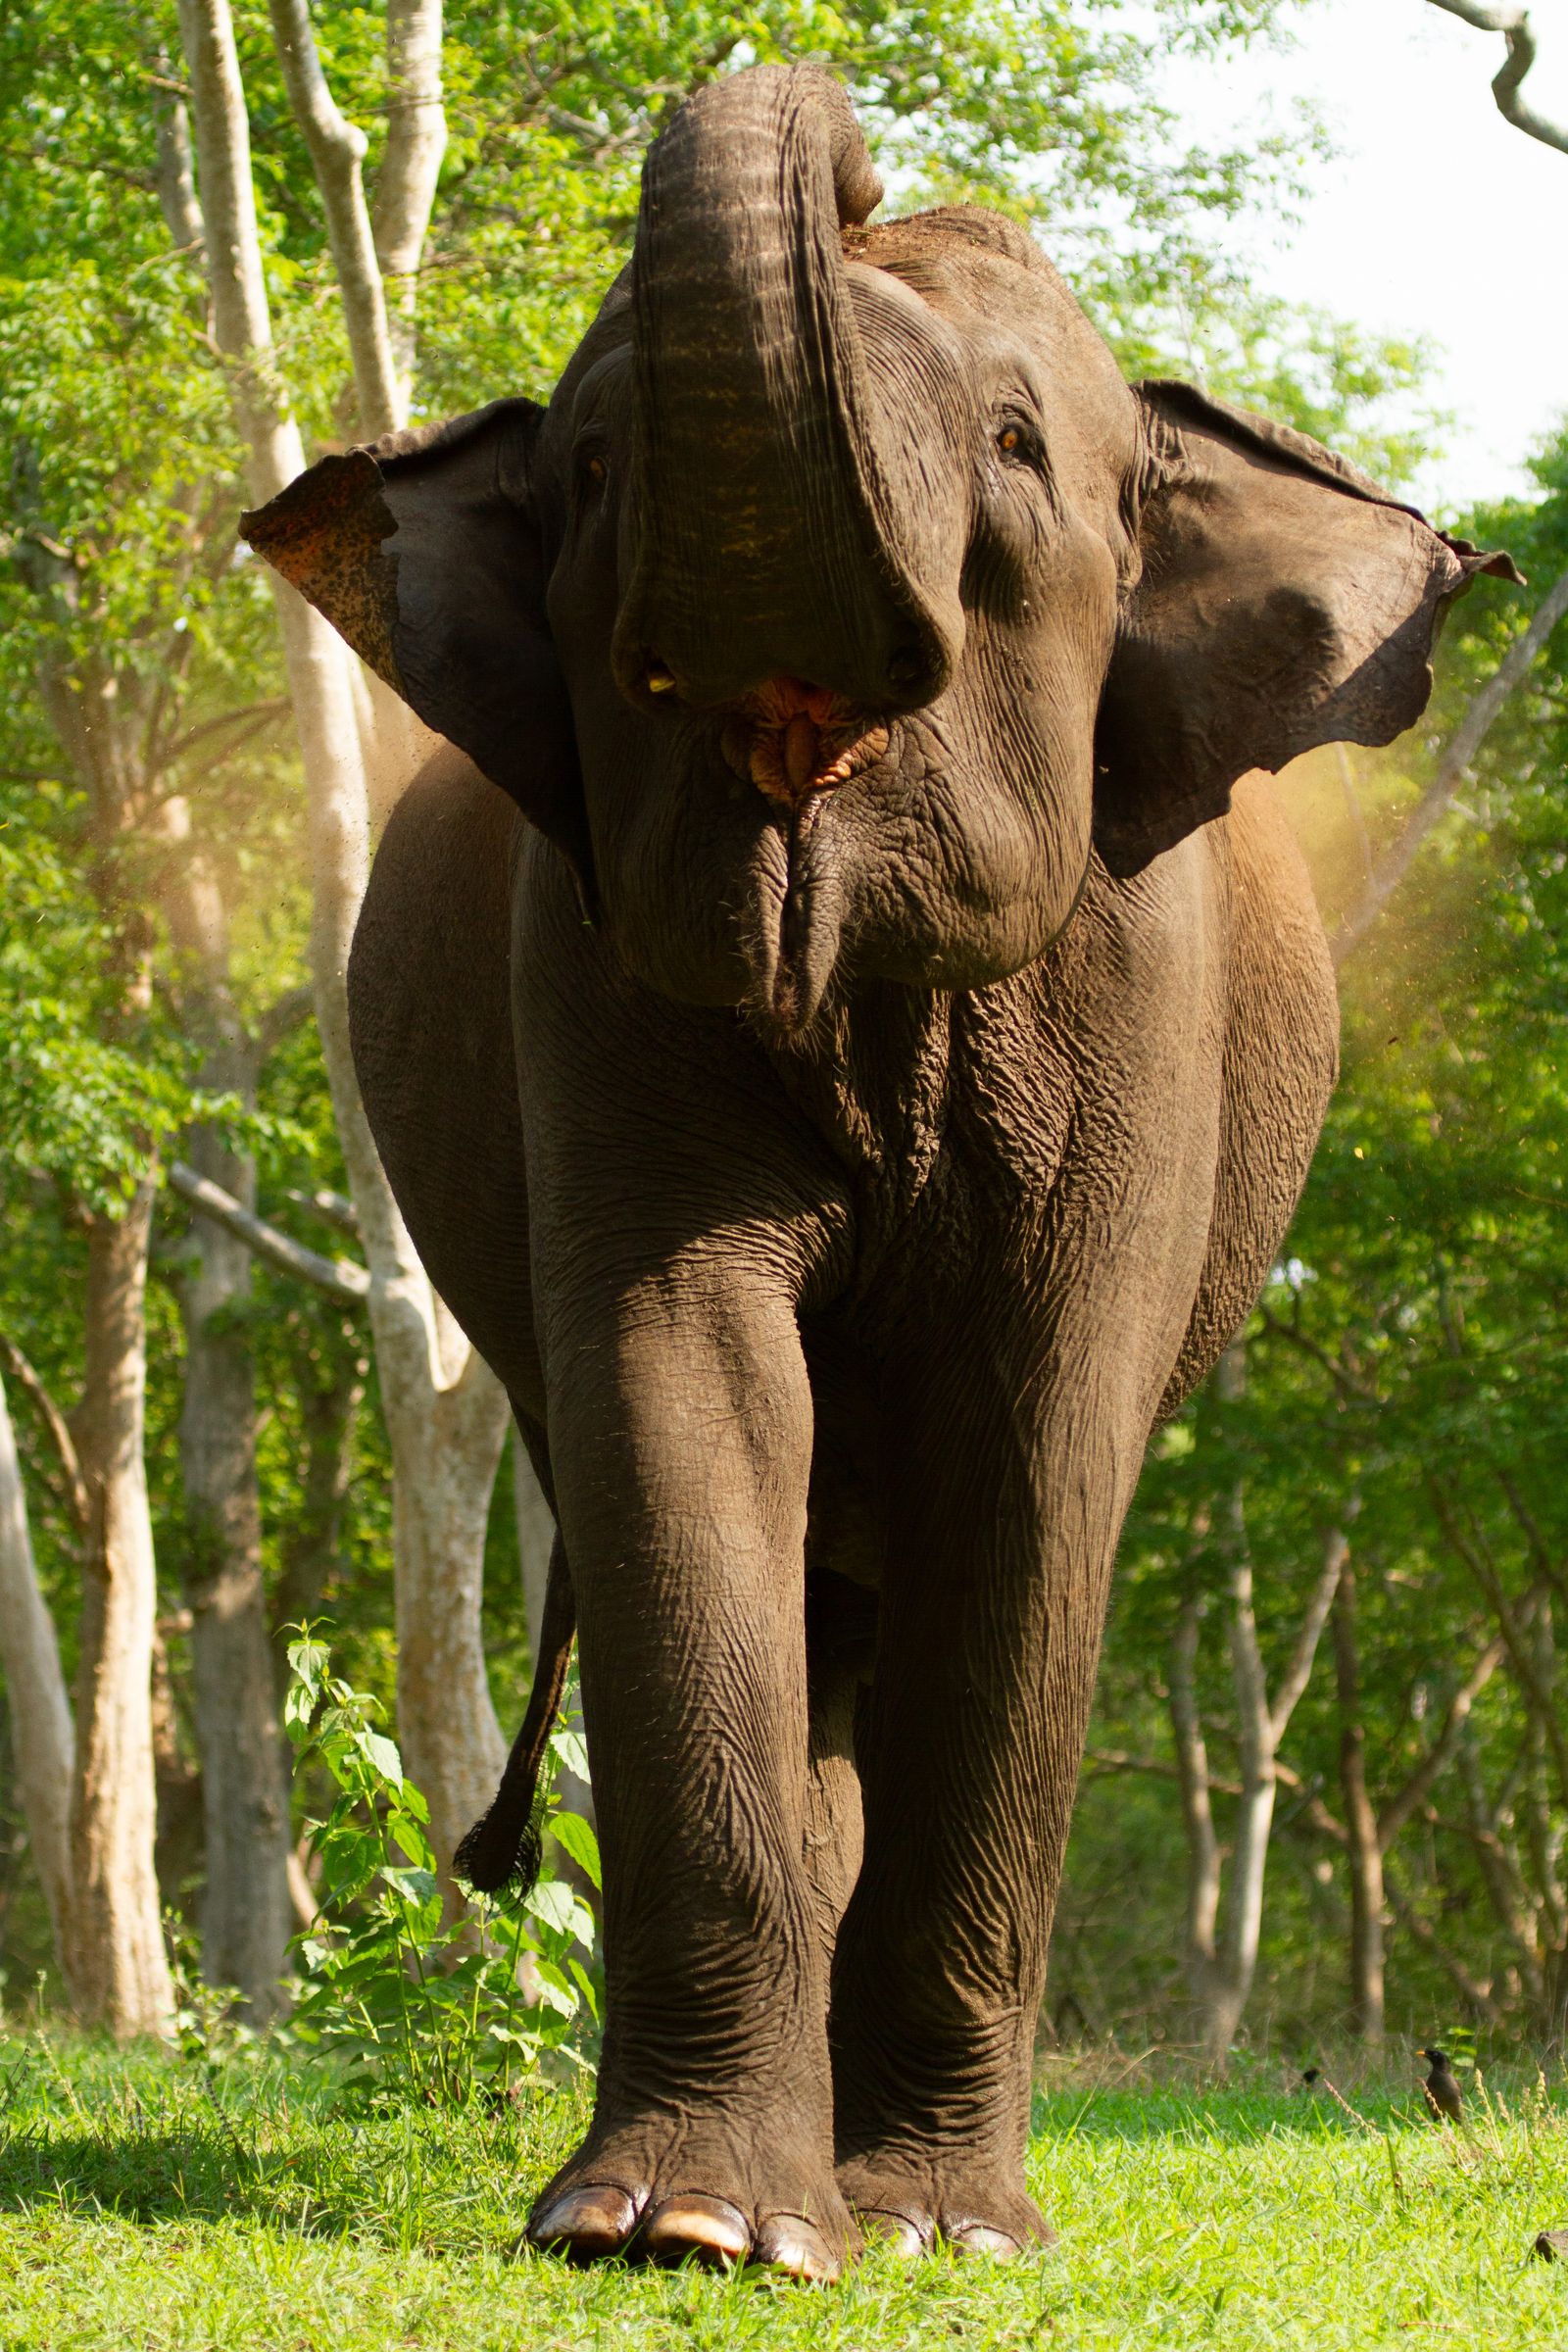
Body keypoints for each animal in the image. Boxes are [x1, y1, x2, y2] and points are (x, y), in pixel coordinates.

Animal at [244, 64, 1511, 2280]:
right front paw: (672, 2230)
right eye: (592, 469)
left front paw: (936, 2237)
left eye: (1014, 450)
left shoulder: (1140, 981)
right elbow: (679, 1376)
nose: (853, 174)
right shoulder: (582, 973)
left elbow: (1033, 1451)